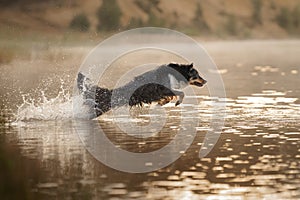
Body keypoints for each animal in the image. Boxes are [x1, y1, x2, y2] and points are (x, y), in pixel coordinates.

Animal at [77, 63, 206, 118]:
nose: (205, 81)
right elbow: (181, 93)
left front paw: (161, 104)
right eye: (197, 74)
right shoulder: (164, 89)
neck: (178, 73)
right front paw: (177, 102)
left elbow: (169, 98)